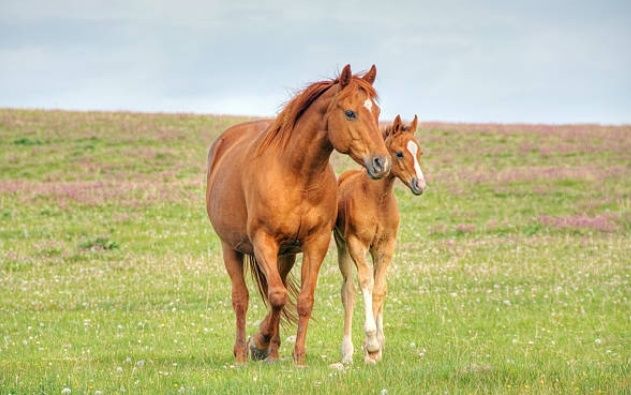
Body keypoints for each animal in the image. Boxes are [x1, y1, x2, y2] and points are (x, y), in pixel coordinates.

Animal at [205, 64, 390, 366]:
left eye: (376, 112)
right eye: (350, 113)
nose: (381, 162)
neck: (298, 174)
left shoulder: (316, 242)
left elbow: (302, 300)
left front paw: (297, 356)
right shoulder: (263, 241)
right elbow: (278, 296)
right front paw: (259, 342)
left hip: (285, 256)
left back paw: (273, 351)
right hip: (231, 248)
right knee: (241, 298)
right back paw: (243, 352)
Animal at [334, 114, 428, 366]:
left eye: (419, 152)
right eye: (399, 153)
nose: (420, 185)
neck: (377, 199)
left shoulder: (385, 247)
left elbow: (379, 289)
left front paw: (374, 349)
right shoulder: (357, 244)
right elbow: (365, 283)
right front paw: (370, 341)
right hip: (342, 247)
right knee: (348, 291)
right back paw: (347, 352)